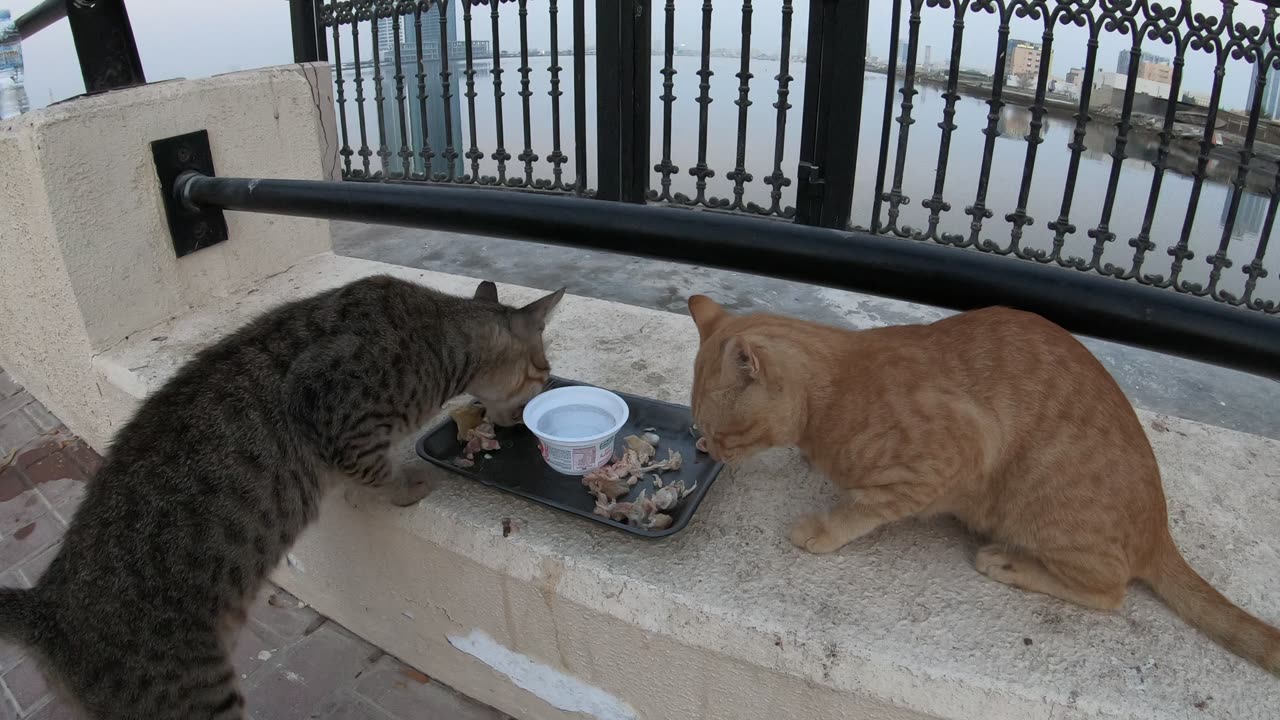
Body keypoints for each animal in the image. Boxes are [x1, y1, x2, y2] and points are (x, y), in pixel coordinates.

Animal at [0, 275, 565, 717]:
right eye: (542, 372)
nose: (531, 411)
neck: (439, 335)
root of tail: (47, 607)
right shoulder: (335, 414)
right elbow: (374, 469)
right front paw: (407, 487)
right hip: (195, 694)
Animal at [691, 293, 1280, 671]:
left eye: (722, 433)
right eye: (705, 431)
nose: (710, 449)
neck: (832, 395)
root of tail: (1161, 532)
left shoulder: (952, 456)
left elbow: (864, 508)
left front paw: (824, 527)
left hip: (1043, 505)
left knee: (1111, 591)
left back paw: (1010, 563)